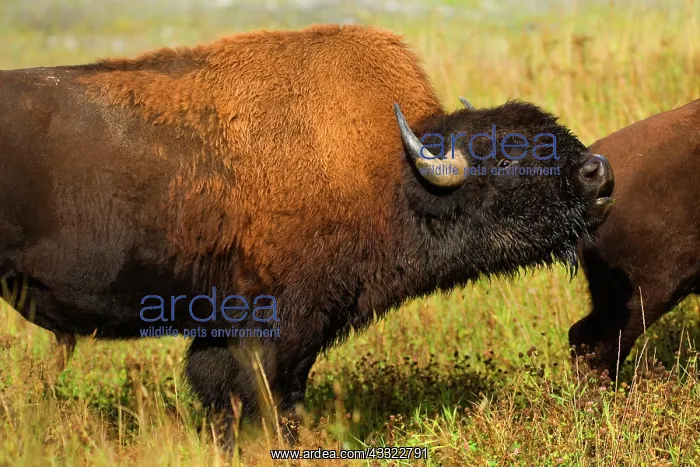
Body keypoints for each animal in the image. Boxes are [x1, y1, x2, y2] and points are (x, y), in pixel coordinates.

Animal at [0, 24, 613, 434]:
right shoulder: (283, 327)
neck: (394, 172)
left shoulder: (223, 331)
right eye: (509, 157)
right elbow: (273, 398)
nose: (598, 173)